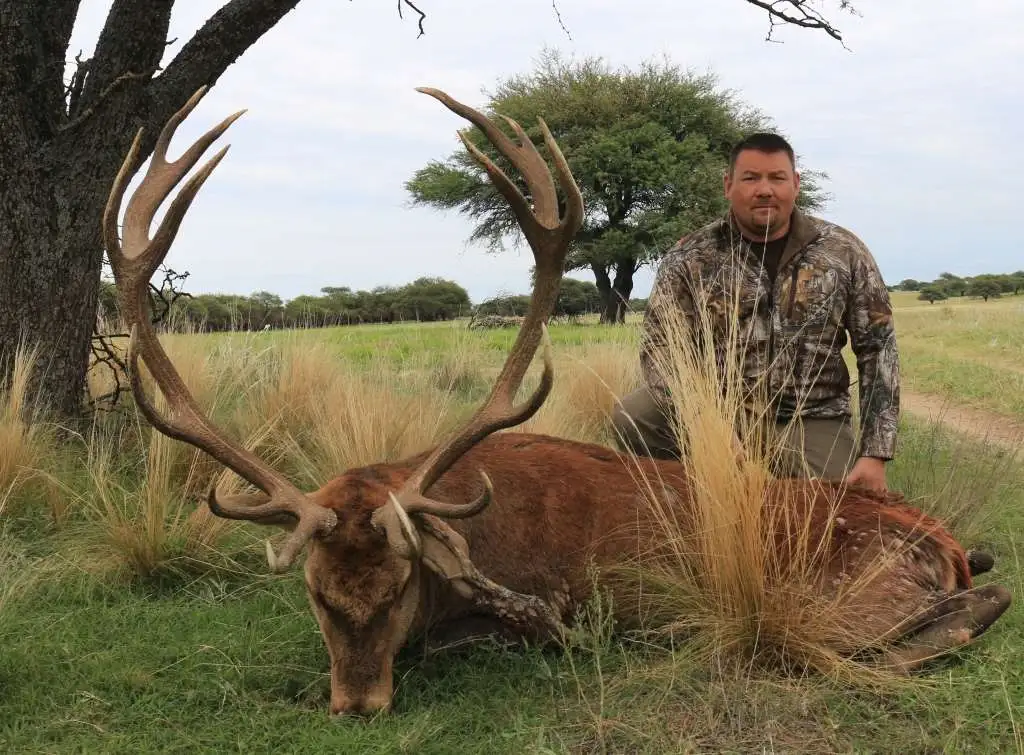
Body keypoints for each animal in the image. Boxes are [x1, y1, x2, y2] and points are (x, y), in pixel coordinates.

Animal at [103, 86, 1011, 717]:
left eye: (396, 589)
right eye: (319, 596)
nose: (357, 704)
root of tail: (942, 541)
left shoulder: (537, 608)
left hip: (846, 598)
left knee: (956, 613)